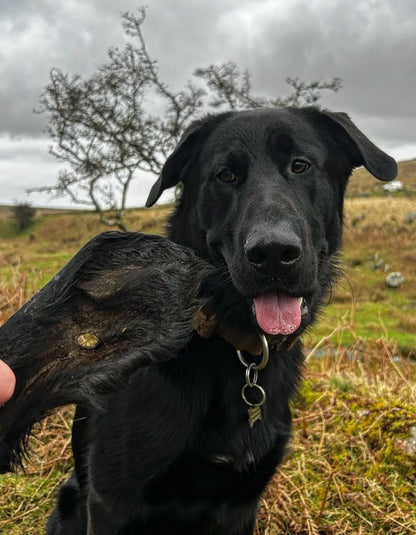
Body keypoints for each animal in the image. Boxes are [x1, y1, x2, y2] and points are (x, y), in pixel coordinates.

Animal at [46, 107, 396, 532]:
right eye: (225, 175)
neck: (238, 350)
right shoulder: (109, 502)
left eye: (300, 165)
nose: (273, 253)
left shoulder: (241, 504)